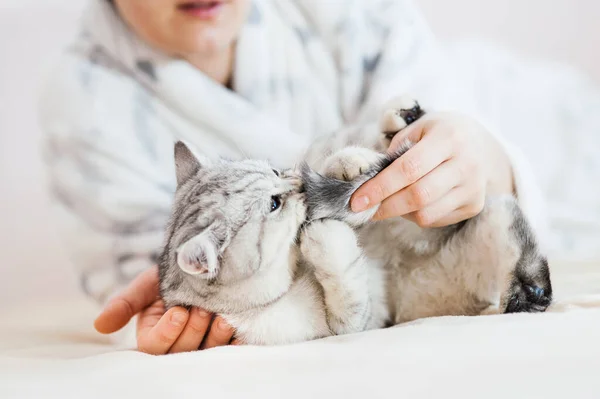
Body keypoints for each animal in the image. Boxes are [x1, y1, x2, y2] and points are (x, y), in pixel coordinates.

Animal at [157, 142, 386, 346]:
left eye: (275, 172)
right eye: (274, 204)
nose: (301, 185)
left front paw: (352, 160)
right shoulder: (350, 327)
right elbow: (350, 299)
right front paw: (326, 236)